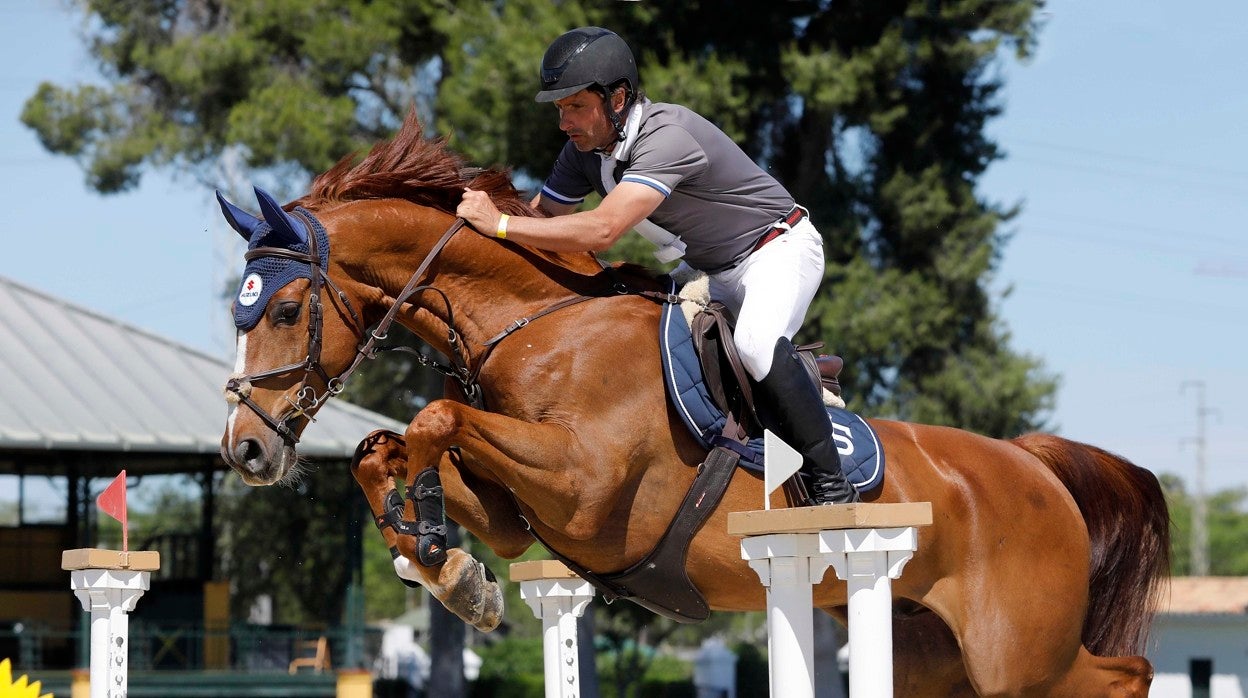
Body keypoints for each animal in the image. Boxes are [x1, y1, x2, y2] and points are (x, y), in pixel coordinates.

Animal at [217, 111, 1168, 694]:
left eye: (287, 311)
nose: (245, 451)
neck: (536, 325)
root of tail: (1034, 467)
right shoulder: (528, 518)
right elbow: (395, 448)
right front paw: (447, 568)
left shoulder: (587, 487)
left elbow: (435, 420)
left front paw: (439, 559)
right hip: (937, 655)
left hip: (1019, 652)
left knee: (1125, 675)